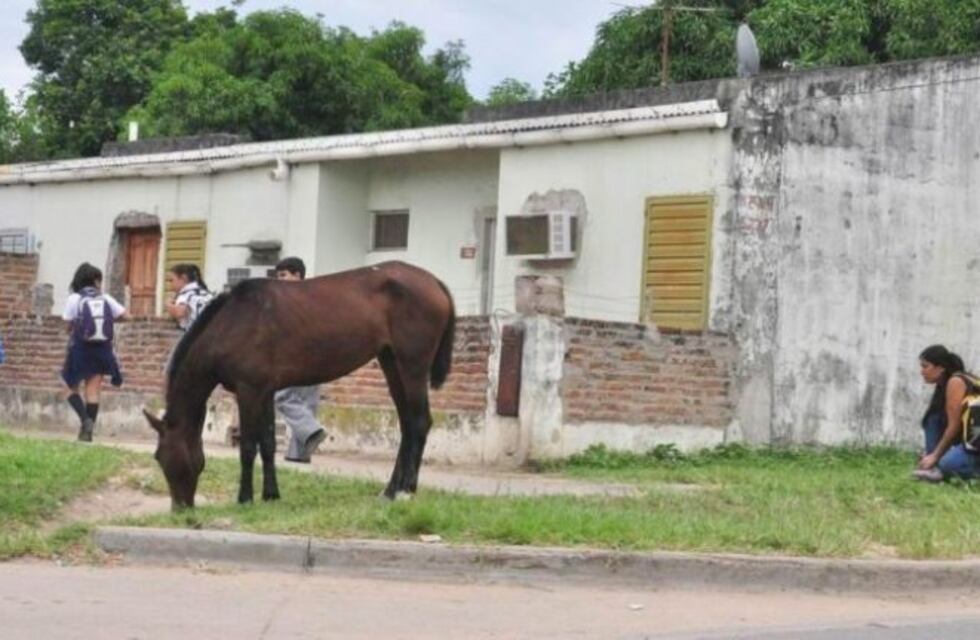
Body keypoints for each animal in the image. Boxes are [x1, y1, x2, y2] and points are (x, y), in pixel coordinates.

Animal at [143, 261, 455, 509]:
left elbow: (248, 447)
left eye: (162, 455)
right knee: (407, 424)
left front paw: (245, 498)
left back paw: (406, 490)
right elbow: (268, 443)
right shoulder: (265, 391)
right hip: (391, 363)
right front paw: (270, 494)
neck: (232, 323)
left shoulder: (249, 391)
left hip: (412, 365)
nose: (180, 508)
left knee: (419, 422)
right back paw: (391, 489)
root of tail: (435, 282)